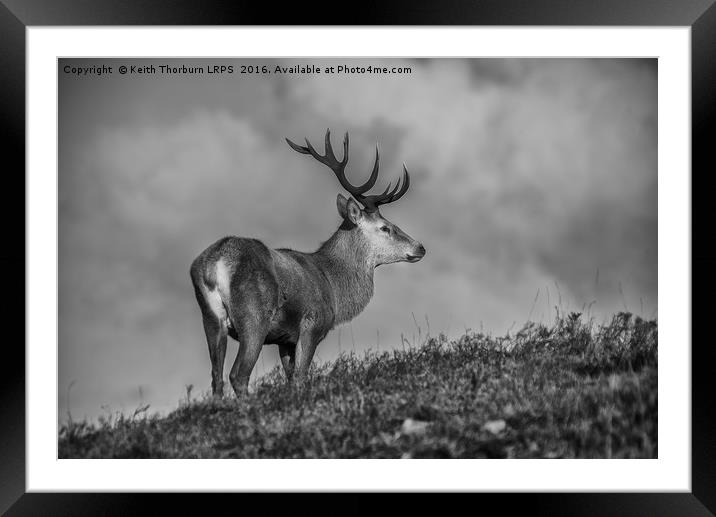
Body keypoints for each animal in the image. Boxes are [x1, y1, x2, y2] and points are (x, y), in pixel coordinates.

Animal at [190, 129, 426, 396]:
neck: (332, 284)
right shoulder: (311, 325)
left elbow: (290, 378)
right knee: (238, 375)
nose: (420, 247)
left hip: (211, 318)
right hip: (254, 316)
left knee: (216, 378)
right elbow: (301, 377)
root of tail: (215, 263)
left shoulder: (284, 339)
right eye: (385, 227)